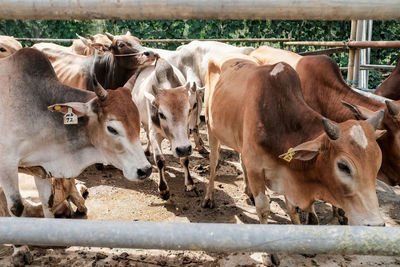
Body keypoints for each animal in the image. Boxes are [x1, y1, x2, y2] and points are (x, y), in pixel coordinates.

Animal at [205, 55, 386, 227]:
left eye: (377, 164)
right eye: (343, 166)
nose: (376, 224)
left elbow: (293, 210)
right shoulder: (255, 169)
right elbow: (263, 209)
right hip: (211, 128)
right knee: (213, 162)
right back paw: (209, 197)